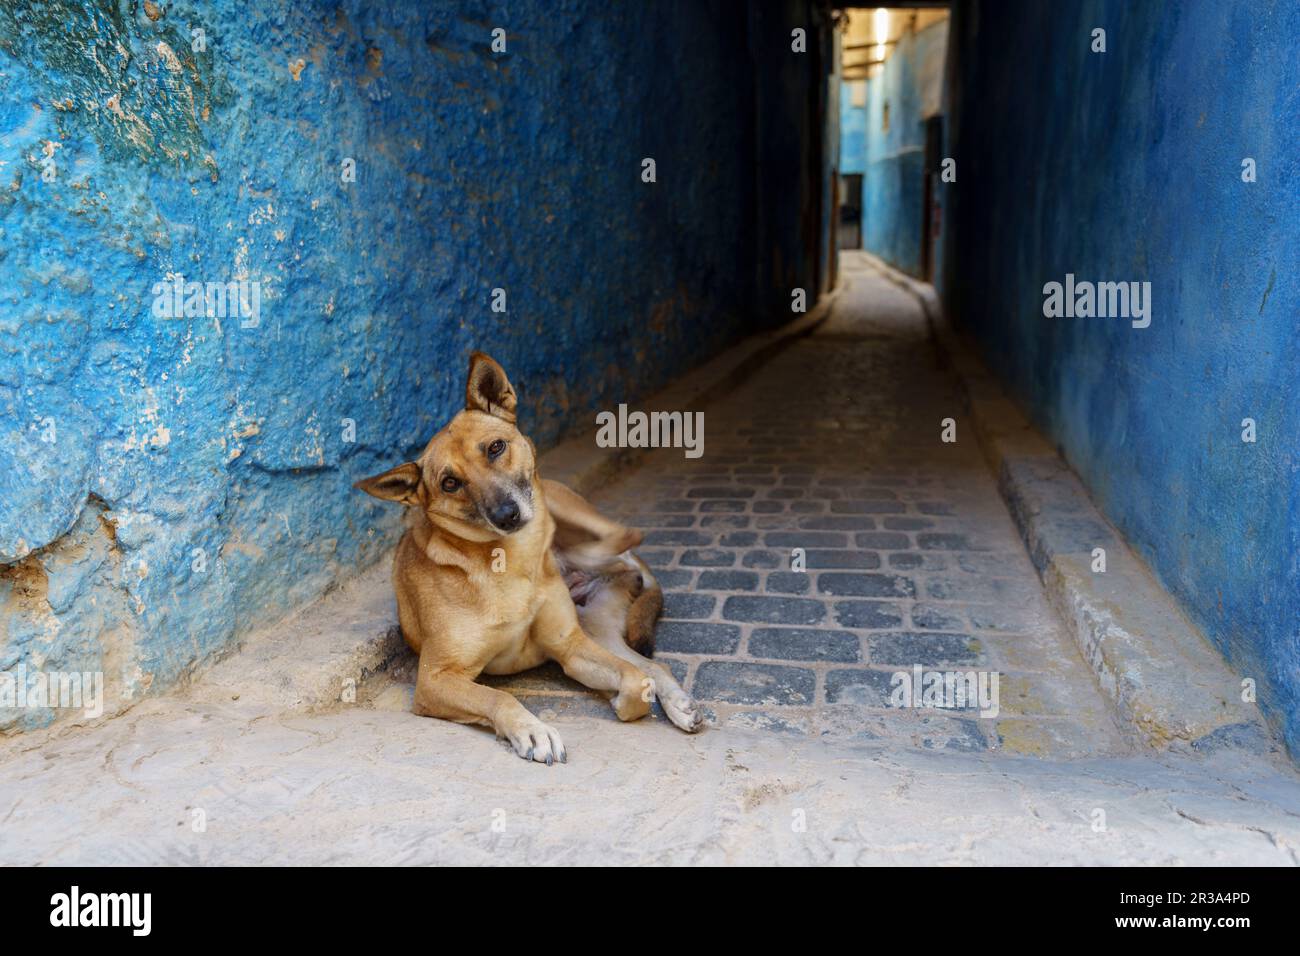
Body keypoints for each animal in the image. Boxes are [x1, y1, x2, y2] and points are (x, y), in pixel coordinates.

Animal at [353, 351, 702, 764]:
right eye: (450, 483)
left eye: (495, 448)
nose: (507, 516)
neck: (510, 563)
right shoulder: (436, 678)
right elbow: (500, 697)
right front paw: (533, 731)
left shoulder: (569, 646)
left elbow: (634, 683)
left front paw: (617, 697)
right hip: (596, 627)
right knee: (649, 660)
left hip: (559, 504)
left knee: (621, 541)